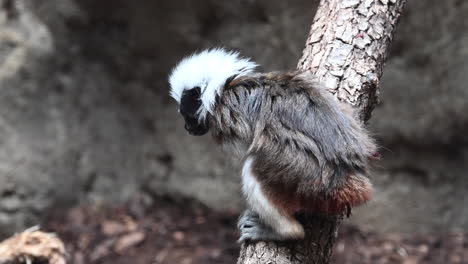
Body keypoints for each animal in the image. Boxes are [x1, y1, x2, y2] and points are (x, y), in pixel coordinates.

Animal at [168, 48, 376, 242]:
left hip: (309, 182)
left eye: (187, 115)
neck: (222, 91)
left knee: (254, 166)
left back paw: (286, 232)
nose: (187, 127)